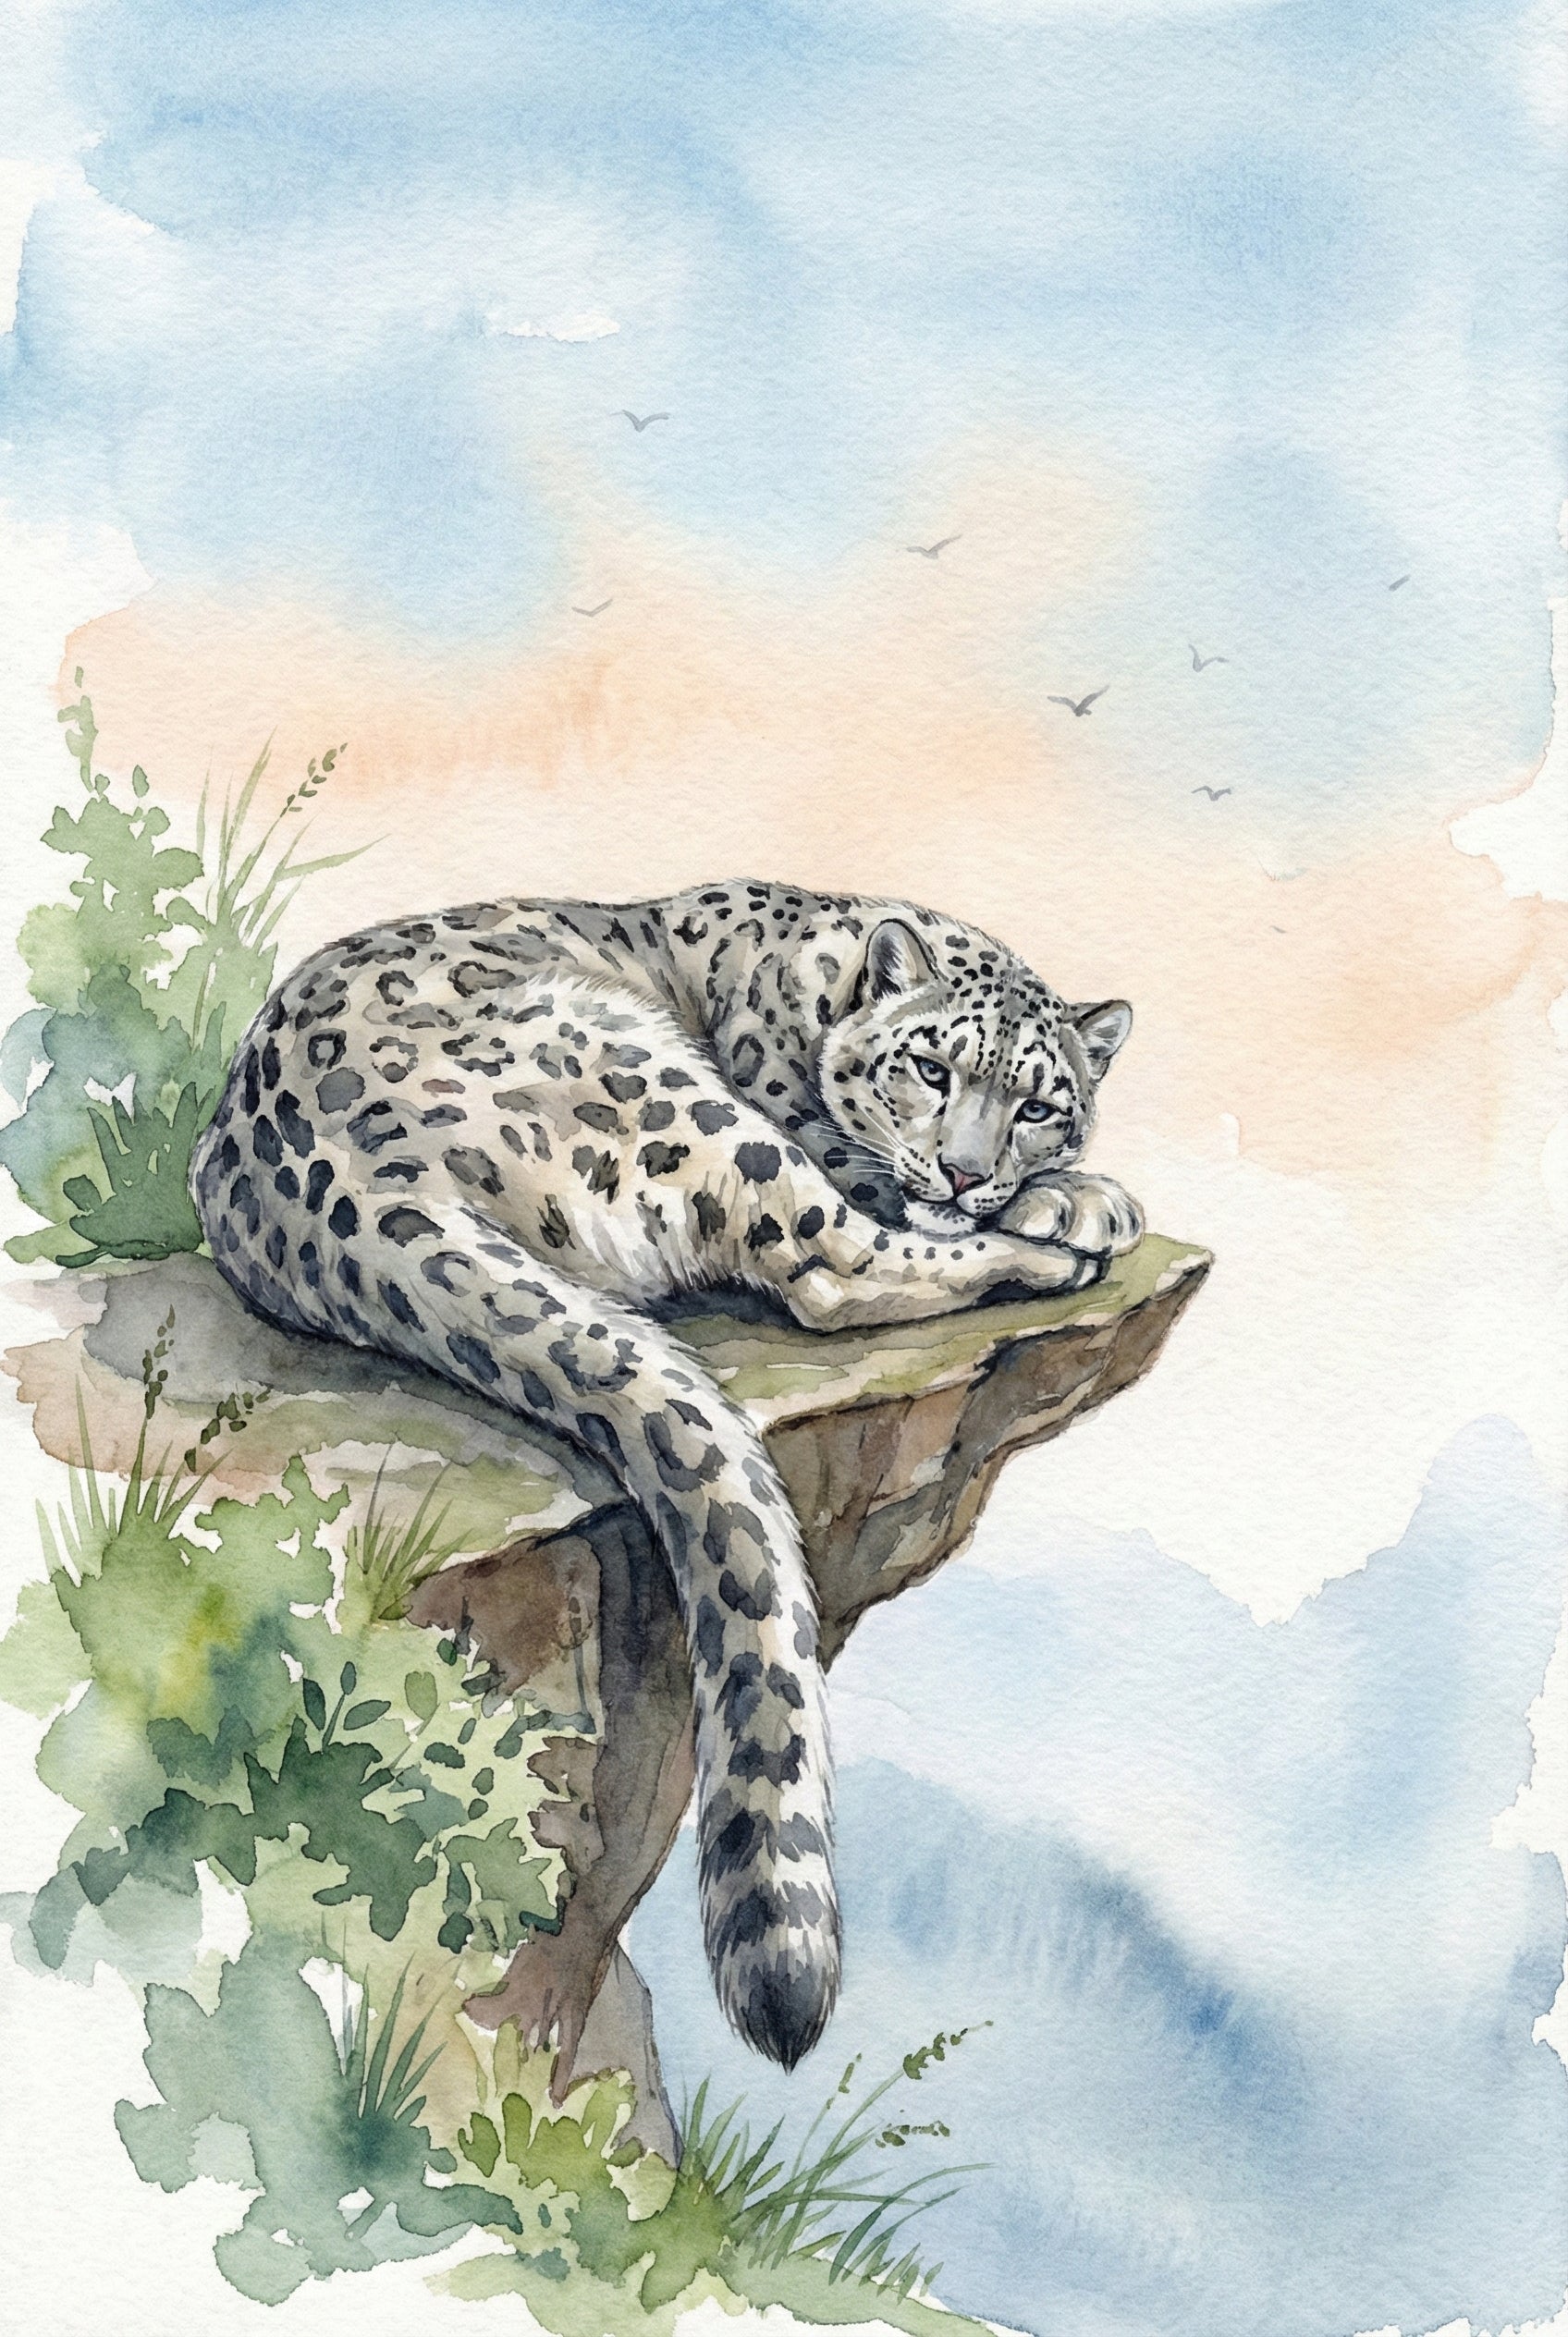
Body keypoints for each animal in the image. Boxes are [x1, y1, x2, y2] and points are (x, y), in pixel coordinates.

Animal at [191, 879, 1142, 2070]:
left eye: (1039, 1104)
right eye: (930, 1067)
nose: (970, 1171)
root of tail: (334, 1183)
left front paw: (1065, 1187)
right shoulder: (815, 1133)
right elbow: (876, 1193)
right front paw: (1077, 1203)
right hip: (682, 1101)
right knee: (834, 1262)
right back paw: (1039, 1256)